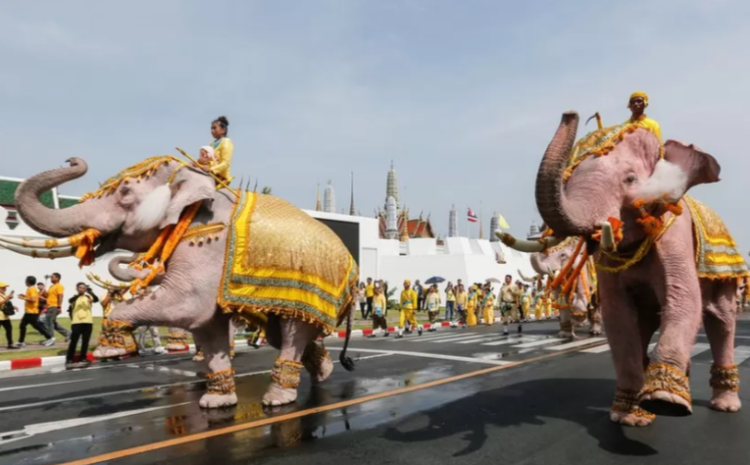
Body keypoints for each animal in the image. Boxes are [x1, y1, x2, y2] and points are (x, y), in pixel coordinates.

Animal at [0, 155, 358, 406]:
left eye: (125, 193)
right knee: (280, 333)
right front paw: (216, 402)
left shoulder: (207, 244)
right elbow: (207, 323)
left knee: (293, 333)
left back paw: (277, 399)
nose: (72, 160)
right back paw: (323, 372)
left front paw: (108, 352)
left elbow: (190, 306)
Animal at [508, 111, 748, 424]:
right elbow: (618, 314)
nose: (570, 114)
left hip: (726, 273)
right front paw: (628, 417)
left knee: (721, 319)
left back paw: (724, 405)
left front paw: (665, 401)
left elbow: (684, 299)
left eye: (630, 179)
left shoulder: (675, 235)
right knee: (645, 321)